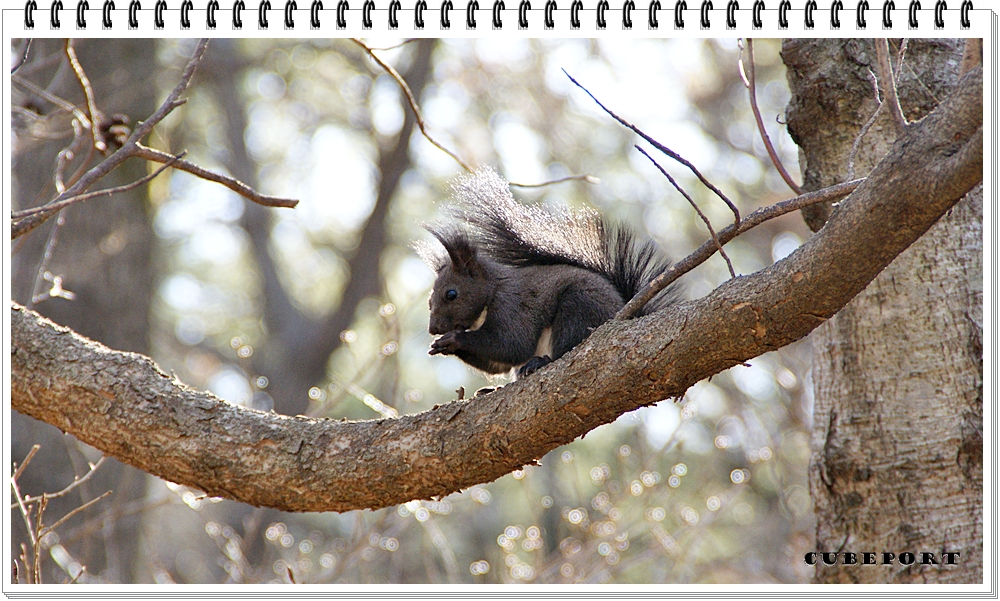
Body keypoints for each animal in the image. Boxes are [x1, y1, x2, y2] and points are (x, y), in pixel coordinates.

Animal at [414, 166, 680, 378]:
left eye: (451, 294)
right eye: (429, 301)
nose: (433, 329)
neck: (493, 289)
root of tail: (627, 312)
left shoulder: (512, 304)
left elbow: (512, 344)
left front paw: (454, 339)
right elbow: (498, 364)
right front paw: (443, 344)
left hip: (580, 306)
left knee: (568, 347)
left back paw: (542, 362)